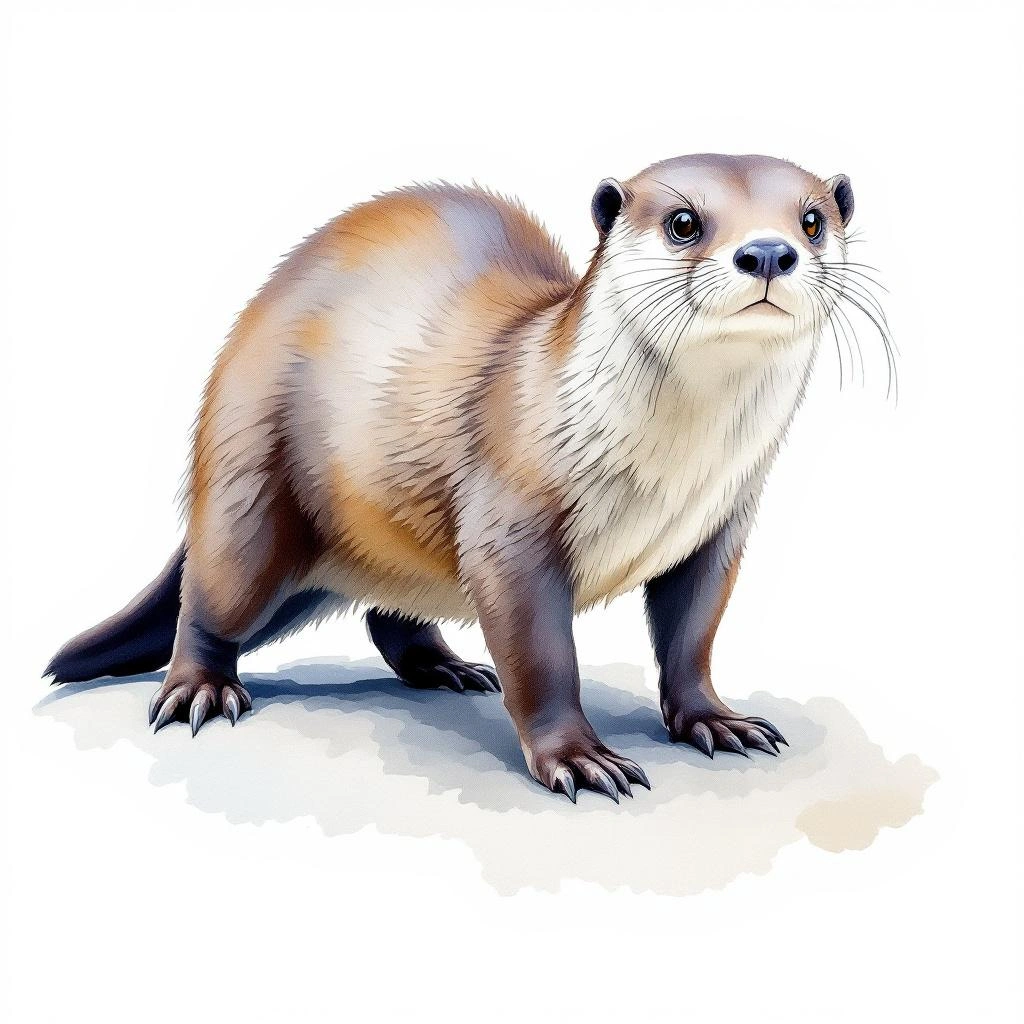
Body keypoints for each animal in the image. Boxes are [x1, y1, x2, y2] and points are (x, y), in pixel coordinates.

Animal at [46, 153, 861, 803]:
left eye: (813, 219)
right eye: (684, 222)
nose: (768, 252)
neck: (669, 475)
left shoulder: (718, 526)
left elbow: (693, 633)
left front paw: (715, 719)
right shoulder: (510, 522)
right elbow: (541, 657)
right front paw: (577, 758)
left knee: (388, 613)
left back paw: (447, 667)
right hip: (251, 483)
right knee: (209, 596)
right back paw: (199, 689)